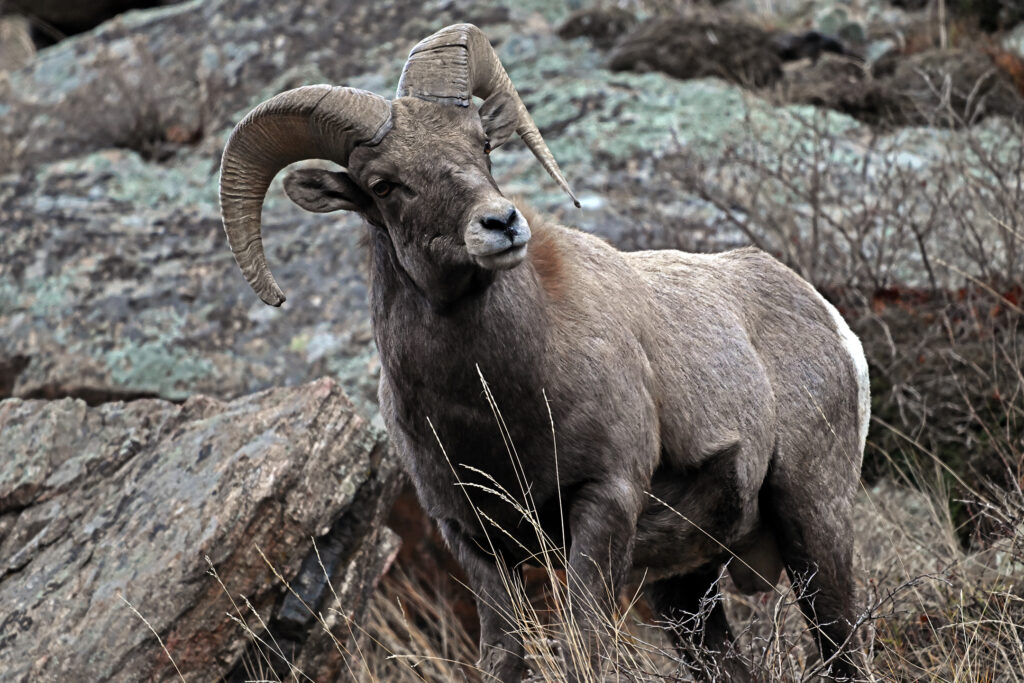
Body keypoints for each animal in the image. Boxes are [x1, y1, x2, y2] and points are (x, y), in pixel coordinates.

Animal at [220, 24, 868, 679]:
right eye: (383, 184)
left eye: (482, 145)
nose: (501, 224)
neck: (494, 405)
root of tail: (826, 318)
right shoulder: (473, 541)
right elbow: (503, 655)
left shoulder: (604, 503)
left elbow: (584, 641)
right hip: (685, 591)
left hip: (815, 523)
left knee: (842, 642)